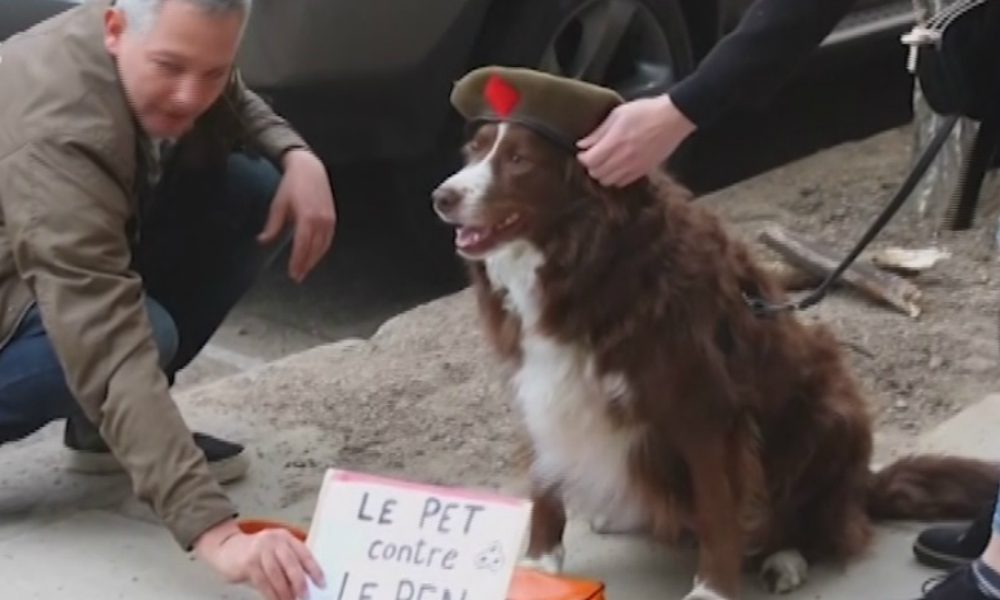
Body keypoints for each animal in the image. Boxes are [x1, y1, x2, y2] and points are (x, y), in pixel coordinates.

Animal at [430, 119, 1000, 596]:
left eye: (519, 160)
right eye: (475, 150)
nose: (441, 196)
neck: (589, 259)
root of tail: (862, 484)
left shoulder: (704, 409)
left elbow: (719, 509)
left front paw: (712, 589)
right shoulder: (542, 383)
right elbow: (546, 485)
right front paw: (538, 567)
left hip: (829, 409)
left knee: (811, 520)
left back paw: (784, 557)